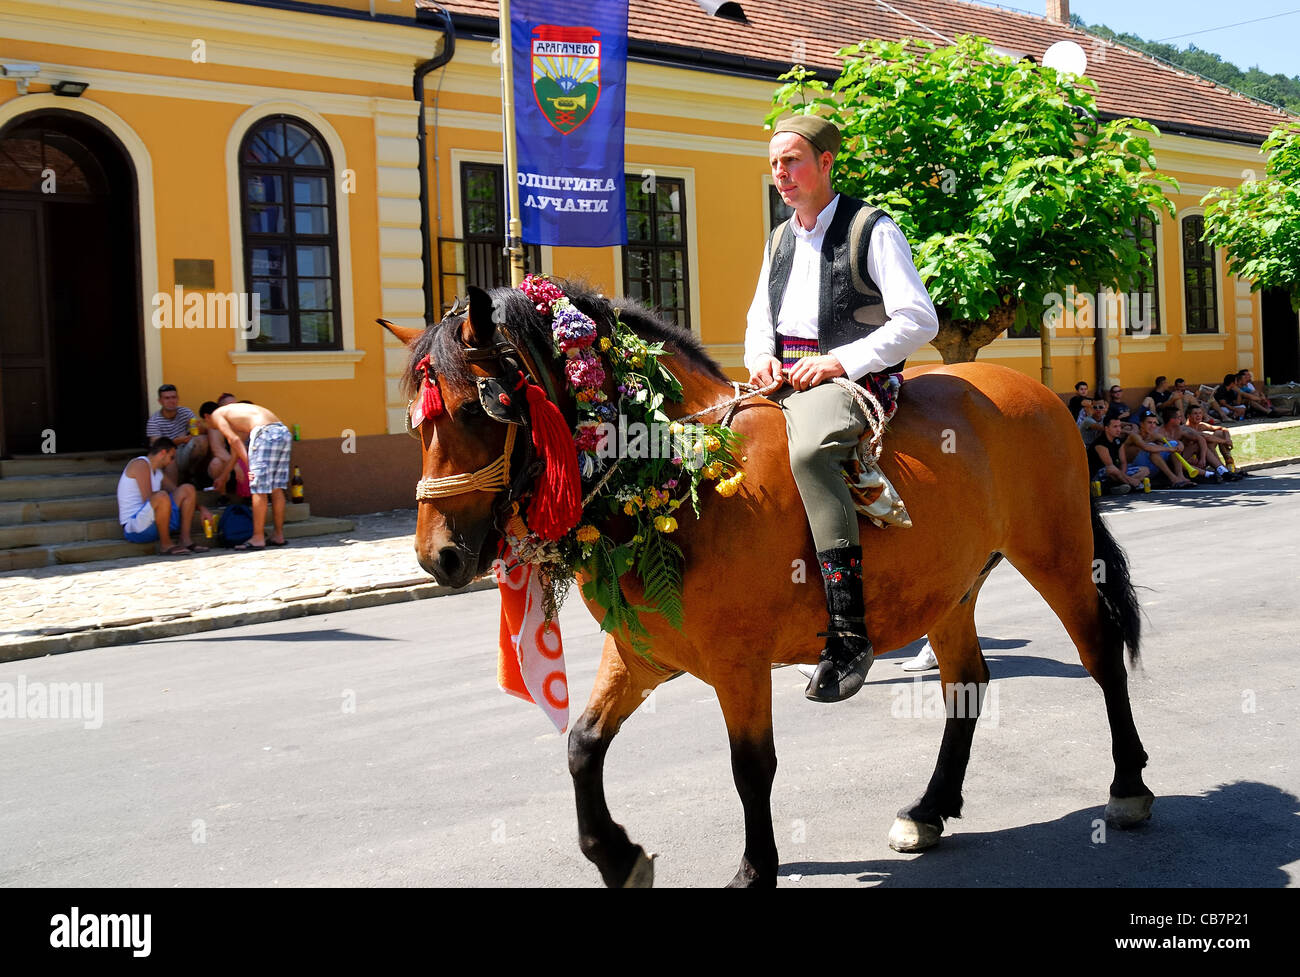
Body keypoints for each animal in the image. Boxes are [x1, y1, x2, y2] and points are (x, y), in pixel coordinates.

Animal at [379, 280, 1154, 883]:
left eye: (479, 408)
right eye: (419, 424)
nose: (436, 556)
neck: (683, 472)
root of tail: (1037, 391)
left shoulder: (738, 663)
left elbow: (751, 766)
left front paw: (755, 869)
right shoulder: (640, 653)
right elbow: (583, 744)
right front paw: (616, 854)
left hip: (1056, 554)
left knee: (1100, 654)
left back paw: (1128, 786)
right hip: (948, 590)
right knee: (966, 683)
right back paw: (929, 809)